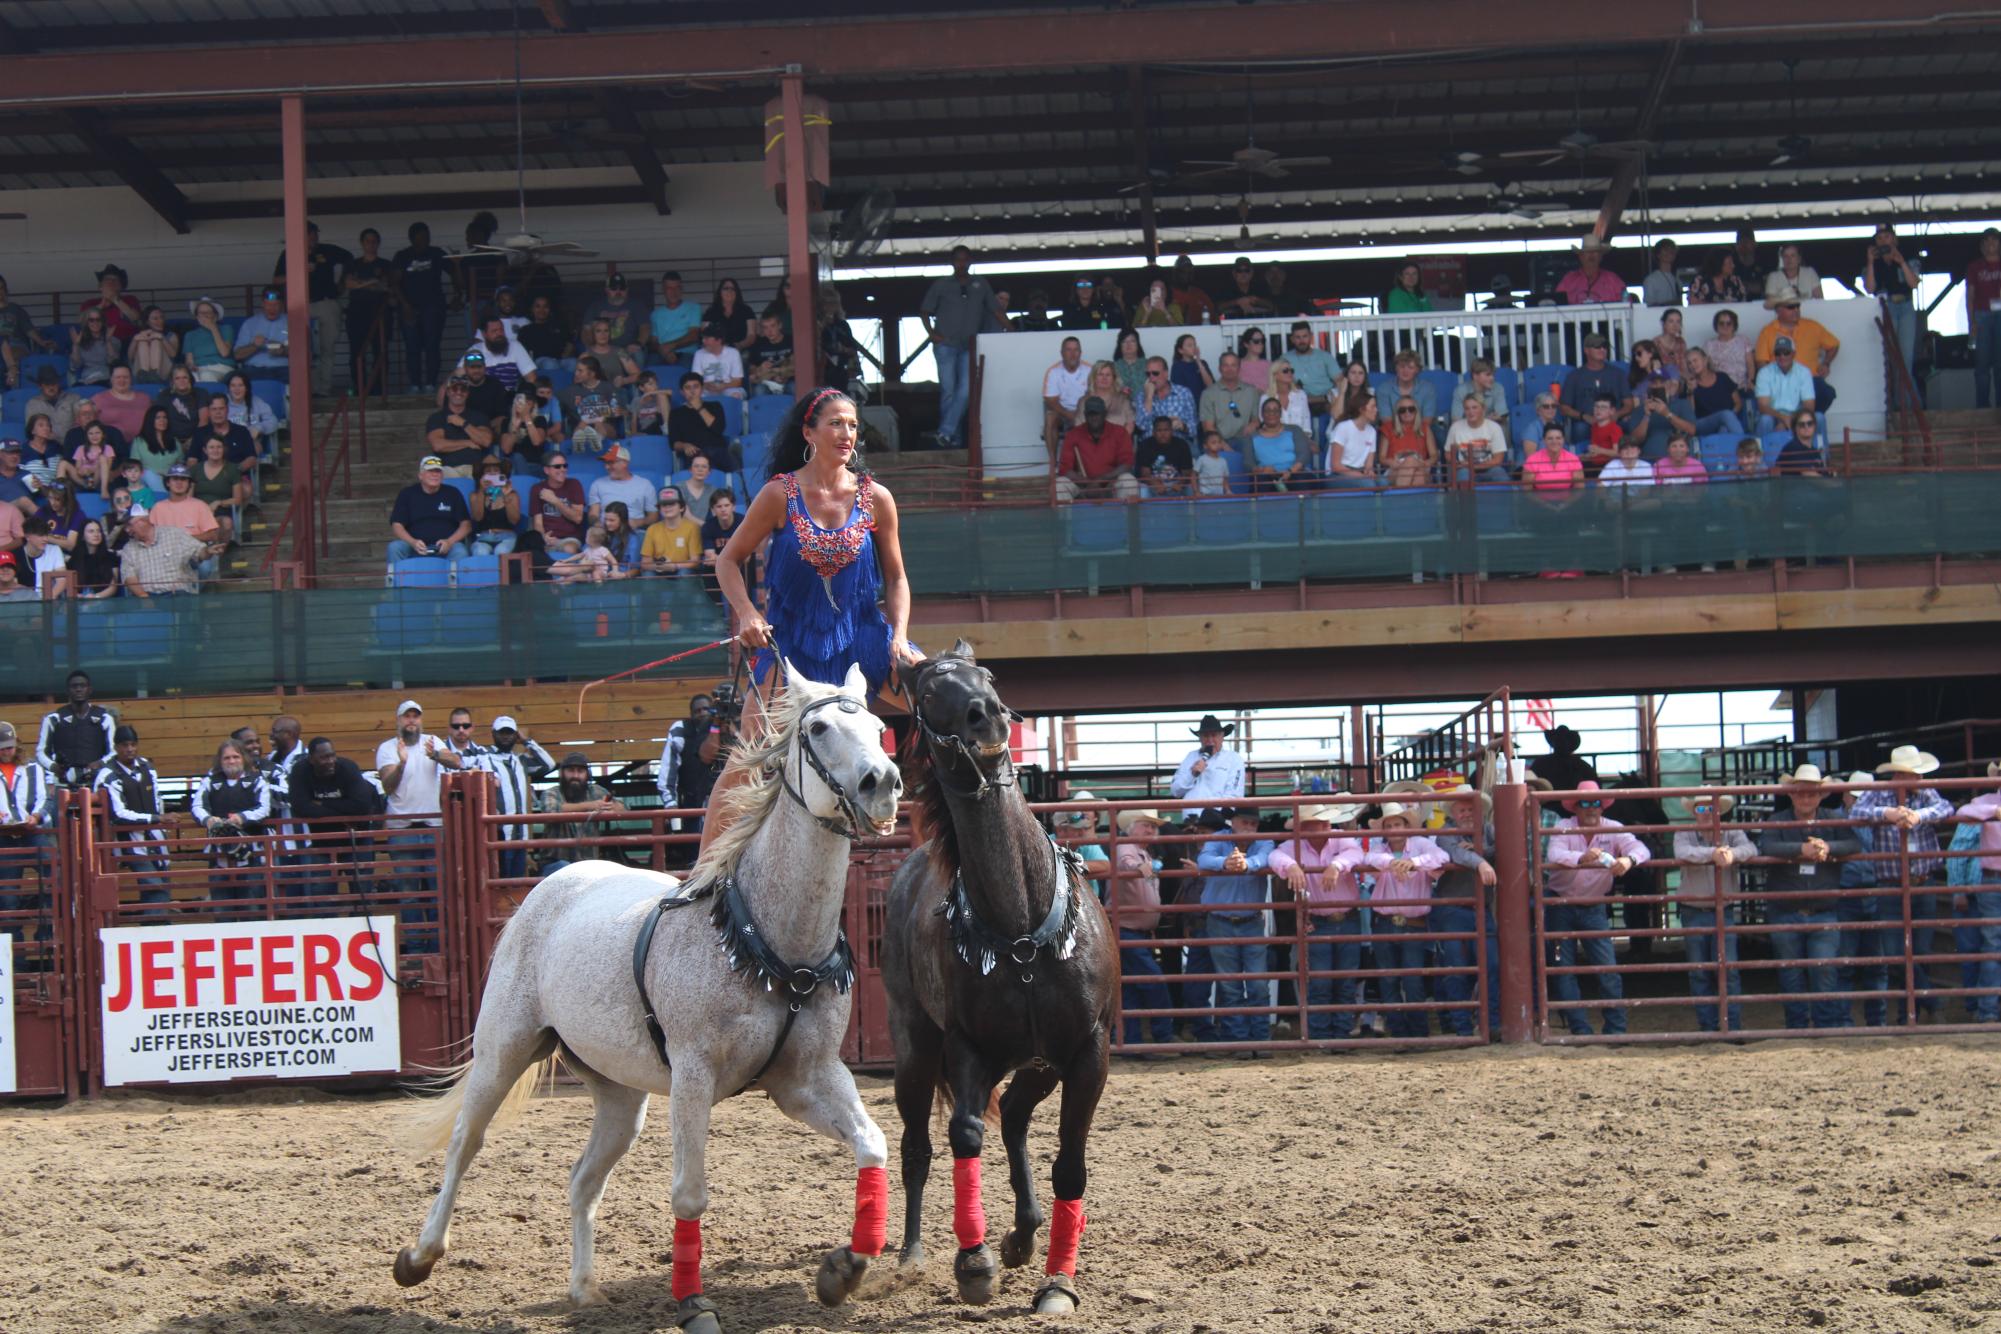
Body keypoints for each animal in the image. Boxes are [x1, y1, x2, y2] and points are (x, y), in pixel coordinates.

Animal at [394, 664, 904, 1328]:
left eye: (877, 725)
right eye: (818, 728)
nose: (882, 783)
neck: (765, 943)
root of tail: (557, 880)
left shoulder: (808, 1079)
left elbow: (873, 1145)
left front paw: (848, 1266)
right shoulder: (693, 1075)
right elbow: (689, 1193)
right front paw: (692, 1302)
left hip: (619, 1095)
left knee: (582, 1180)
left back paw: (585, 1288)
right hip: (502, 1051)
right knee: (465, 1143)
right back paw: (420, 1255)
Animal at [880, 644, 1120, 1312]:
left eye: (986, 675)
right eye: (926, 693)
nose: (984, 715)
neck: (1020, 922)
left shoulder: (1086, 1052)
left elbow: (1070, 1165)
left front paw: (1058, 1282)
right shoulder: (969, 1047)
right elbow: (963, 1133)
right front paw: (973, 1260)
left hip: (1039, 1063)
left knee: (1012, 1114)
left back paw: (1025, 1232)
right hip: (915, 1048)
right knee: (918, 1144)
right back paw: (913, 1253)